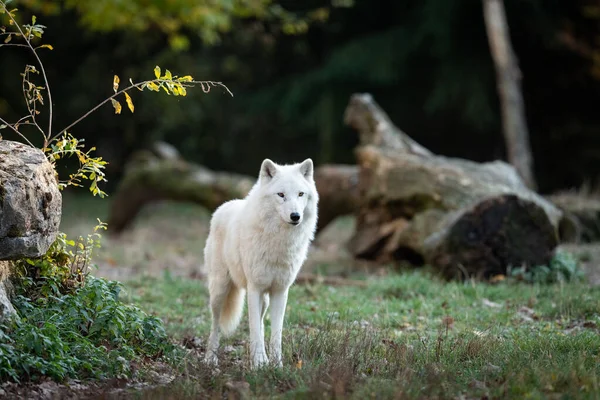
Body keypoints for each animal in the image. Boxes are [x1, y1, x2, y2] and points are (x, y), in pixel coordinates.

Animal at [204, 159, 318, 368]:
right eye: (281, 195)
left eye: (300, 194)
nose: (295, 216)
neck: (279, 241)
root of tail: (224, 206)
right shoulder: (254, 288)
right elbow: (254, 330)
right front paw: (257, 365)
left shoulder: (280, 291)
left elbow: (275, 334)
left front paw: (276, 365)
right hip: (219, 291)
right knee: (215, 325)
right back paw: (210, 359)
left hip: (264, 298)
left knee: (262, 322)